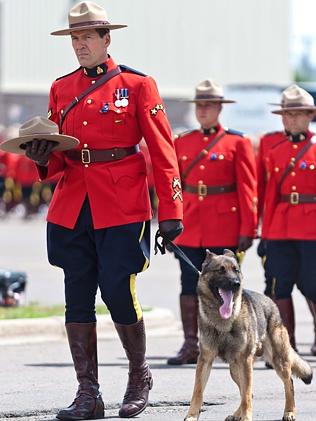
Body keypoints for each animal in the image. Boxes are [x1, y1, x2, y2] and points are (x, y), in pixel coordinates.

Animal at [184, 249, 312, 420]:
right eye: (221, 270)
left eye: (236, 270)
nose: (236, 283)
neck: (223, 321)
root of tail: (271, 302)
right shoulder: (205, 360)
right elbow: (198, 390)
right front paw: (192, 415)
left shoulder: (245, 361)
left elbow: (246, 394)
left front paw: (246, 416)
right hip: (235, 368)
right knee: (248, 391)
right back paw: (236, 414)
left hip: (277, 361)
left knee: (287, 383)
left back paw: (289, 412)